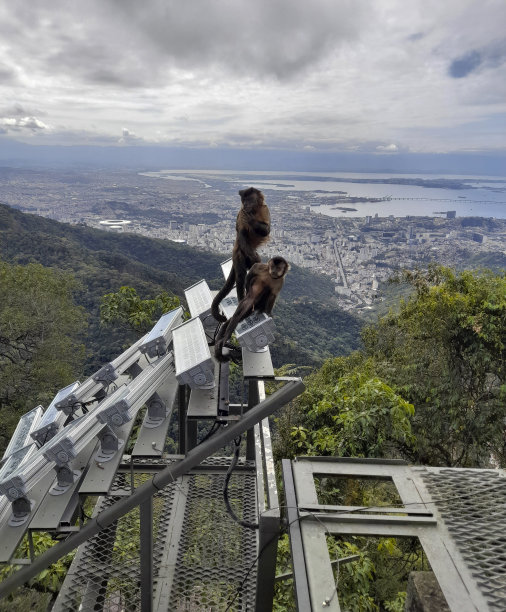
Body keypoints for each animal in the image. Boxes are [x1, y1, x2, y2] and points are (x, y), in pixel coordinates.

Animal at [211, 186, 270, 322]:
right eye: (244, 200)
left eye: (249, 200)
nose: (246, 205)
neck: (254, 210)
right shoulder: (240, 214)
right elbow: (242, 232)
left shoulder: (265, 208)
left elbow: (266, 229)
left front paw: (251, 219)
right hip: (239, 254)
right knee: (240, 276)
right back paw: (241, 300)